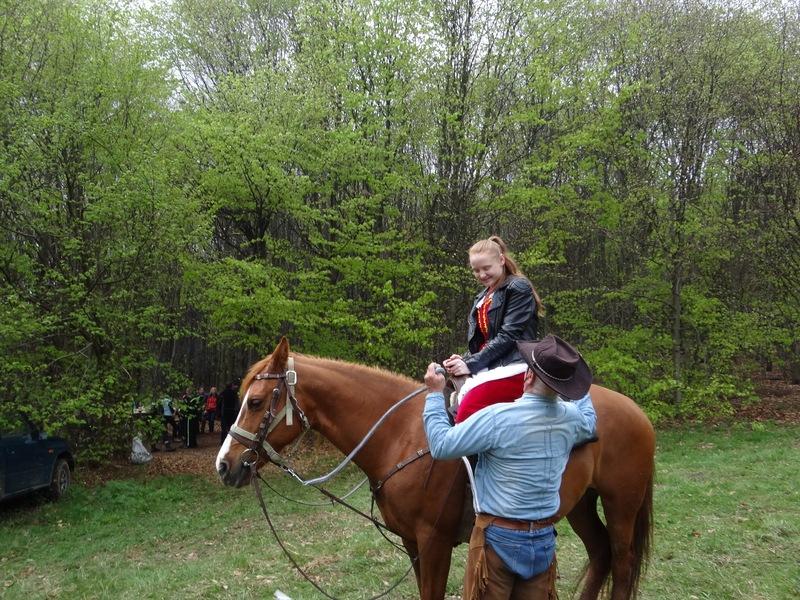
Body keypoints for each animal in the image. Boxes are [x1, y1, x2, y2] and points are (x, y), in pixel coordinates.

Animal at [216, 338, 655, 600]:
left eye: (255, 402)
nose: (224, 465)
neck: (403, 434)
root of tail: (637, 412)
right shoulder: (413, 543)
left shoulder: (435, 542)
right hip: (581, 504)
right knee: (600, 554)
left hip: (621, 505)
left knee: (621, 560)